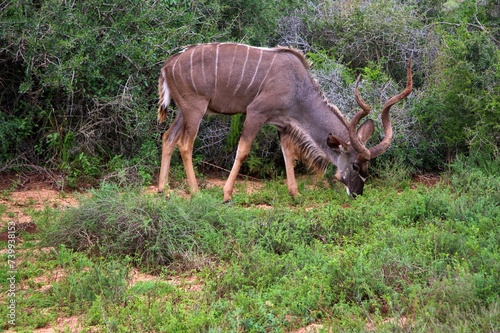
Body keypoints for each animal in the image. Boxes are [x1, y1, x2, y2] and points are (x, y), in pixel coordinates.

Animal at [158, 42, 412, 201]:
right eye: (356, 166)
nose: (357, 193)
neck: (298, 87)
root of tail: (167, 66)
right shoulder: (256, 113)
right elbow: (243, 150)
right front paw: (227, 194)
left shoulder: (282, 124)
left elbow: (288, 153)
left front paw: (295, 194)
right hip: (195, 109)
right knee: (185, 144)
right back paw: (195, 192)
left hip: (184, 112)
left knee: (168, 137)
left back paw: (163, 190)